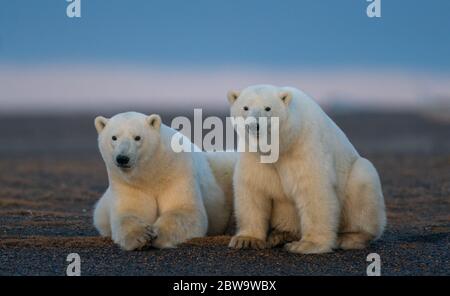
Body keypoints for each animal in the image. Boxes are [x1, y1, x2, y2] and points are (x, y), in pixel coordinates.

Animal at [93, 111, 237, 250]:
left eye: (137, 137)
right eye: (114, 137)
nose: (122, 158)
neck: (152, 170)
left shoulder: (177, 171)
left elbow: (184, 210)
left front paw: (158, 234)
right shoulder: (129, 183)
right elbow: (129, 212)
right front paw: (140, 237)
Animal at [229, 84, 386, 253]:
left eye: (268, 108)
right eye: (245, 107)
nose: (254, 125)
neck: (284, 143)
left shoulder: (305, 144)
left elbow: (313, 189)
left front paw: (307, 244)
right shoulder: (254, 155)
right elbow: (253, 188)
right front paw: (246, 239)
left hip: (357, 176)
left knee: (363, 183)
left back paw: (349, 238)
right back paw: (280, 235)